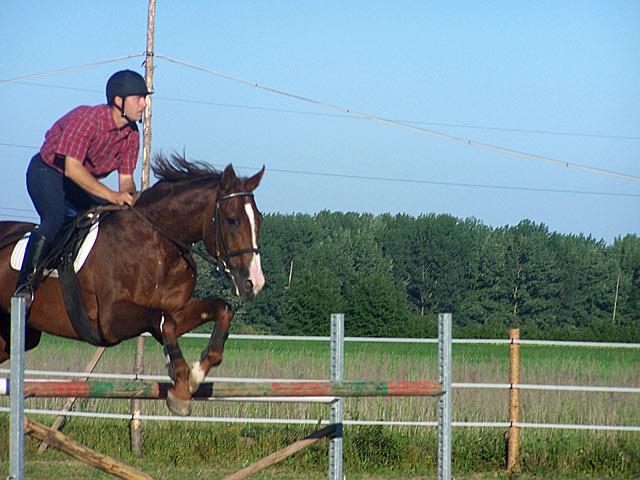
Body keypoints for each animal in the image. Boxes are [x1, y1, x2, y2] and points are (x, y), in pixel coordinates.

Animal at [0, 152, 264, 414]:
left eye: (259, 220)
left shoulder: (177, 310)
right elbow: (164, 322)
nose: (255, 282)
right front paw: (180, 388)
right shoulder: (110, 321)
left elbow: (221, 309)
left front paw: (196, 375)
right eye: (231, 220)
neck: (157, 247)